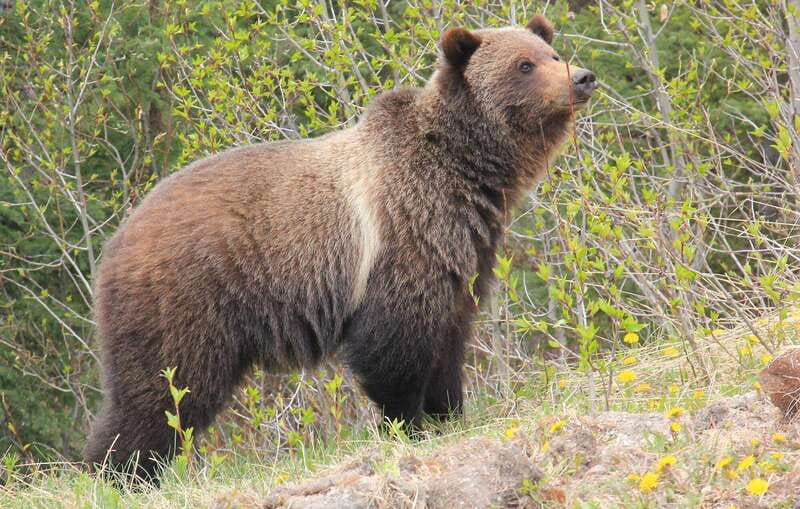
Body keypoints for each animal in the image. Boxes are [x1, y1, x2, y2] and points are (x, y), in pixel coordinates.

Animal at [84, 14, 597, 481]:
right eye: (524, 64)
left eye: (552, 54)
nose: (583, 77)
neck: (465, 171)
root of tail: (117, 238)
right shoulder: (401, 236)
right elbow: (394, 347)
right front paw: (407, 425)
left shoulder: (465, 255)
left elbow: (449, 342)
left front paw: (449, 412)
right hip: (186, 298)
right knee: (164, 388)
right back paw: (120, 471)